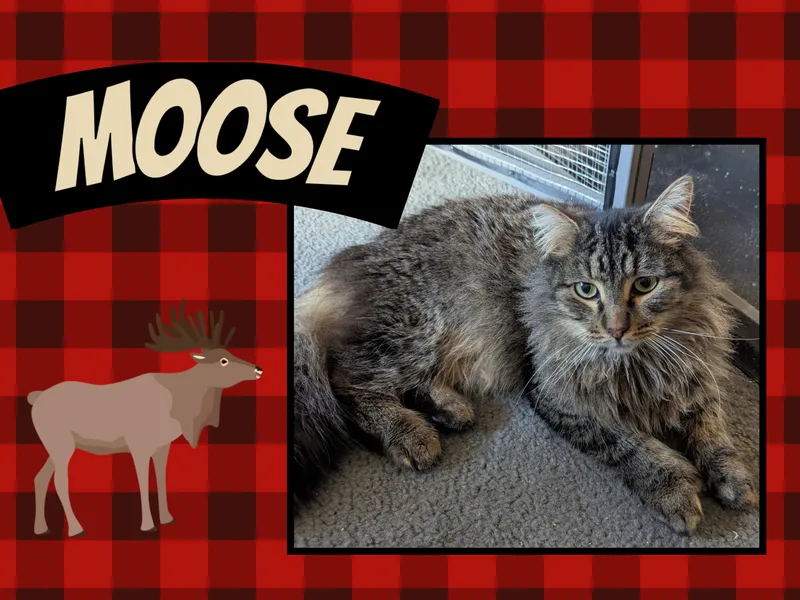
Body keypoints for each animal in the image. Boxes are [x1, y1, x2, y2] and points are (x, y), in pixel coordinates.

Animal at [28, 301, 262, 537]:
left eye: (230, 353)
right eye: (223, 361)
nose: (258, 369)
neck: (179, 407)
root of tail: (35, 398)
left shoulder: (163, 445)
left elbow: (161, 478)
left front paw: (167, 518)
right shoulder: (138, 444)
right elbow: (142, 481)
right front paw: (148, 525)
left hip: (54, 446)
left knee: (40, 478)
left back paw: (41, 528)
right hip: (61, 444)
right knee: (59, 481)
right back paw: (76, 529)